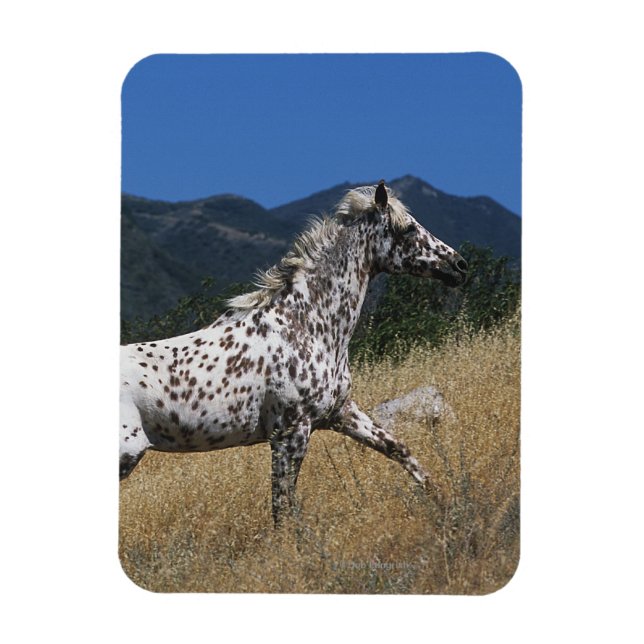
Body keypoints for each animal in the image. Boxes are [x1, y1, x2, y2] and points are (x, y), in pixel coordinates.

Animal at [120, 181, 468, 523]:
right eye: (407, 228)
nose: (459, 265)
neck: (306, 324)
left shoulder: (341, 413)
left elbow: (399, 449)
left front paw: (444, 502)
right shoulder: (292, 432)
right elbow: (283, 507)